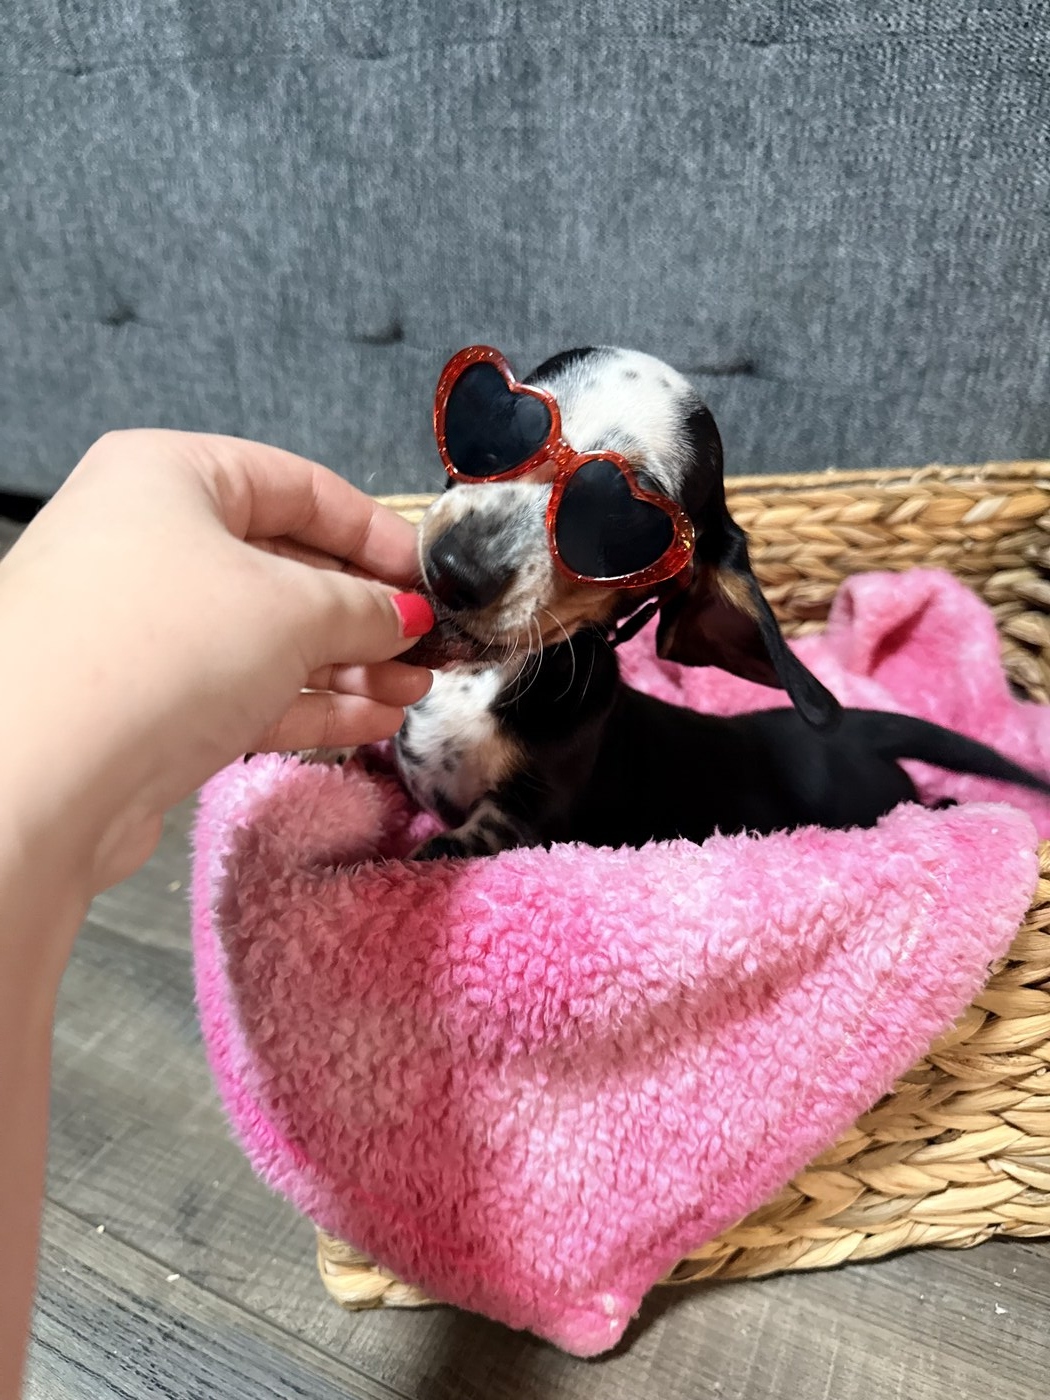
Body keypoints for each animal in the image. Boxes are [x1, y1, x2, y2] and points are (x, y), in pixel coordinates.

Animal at [389, 344, 1050, 858]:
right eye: (494, 429)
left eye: (617, 524)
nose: (453, 571)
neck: (481, 677)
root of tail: (860, 732)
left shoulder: (522, 823)